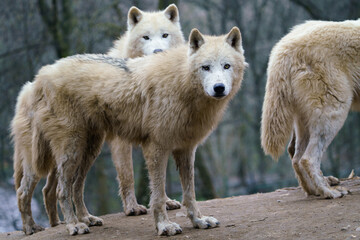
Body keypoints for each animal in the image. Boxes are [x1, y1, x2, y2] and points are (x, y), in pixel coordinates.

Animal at [11, 27, 248, 235]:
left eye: (226, 66)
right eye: (205, 67)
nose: (219, 88)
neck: (181, 82)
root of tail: (39, 78)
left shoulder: (186, 149)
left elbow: (190, 193)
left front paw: (198, 221)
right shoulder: (156, 148)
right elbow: (158, 195)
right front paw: (164, 226)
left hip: (88, 151)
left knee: (74, 187)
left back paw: (85, 219)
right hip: (65, 152)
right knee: (45, 191)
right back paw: (59, 227)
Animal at [262, 19, 360, 199]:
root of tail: (282, 50)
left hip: (304, 119)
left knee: (296, 155)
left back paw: (314, 190)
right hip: (335, 109)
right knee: (308, 158)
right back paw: (330, 191)